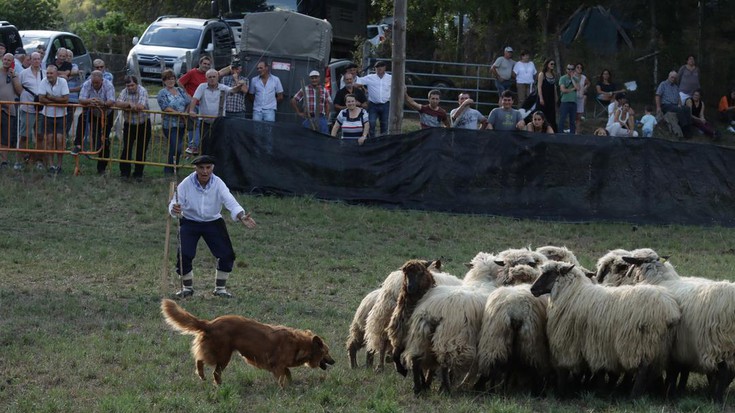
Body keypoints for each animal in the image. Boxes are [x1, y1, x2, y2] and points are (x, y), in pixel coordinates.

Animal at [162, 298, 338, 384]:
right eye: (327, 352)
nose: (334, 361)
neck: (299, 344)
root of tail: (210, 323)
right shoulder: (277, 365)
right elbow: (283, 377)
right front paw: (284, 388)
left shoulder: (281, 365)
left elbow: (288, 373)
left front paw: (291, 384)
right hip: (223, 356)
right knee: (212, 369)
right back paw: (217, 383)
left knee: (199, 358)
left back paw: (202, 376)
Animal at [532, 260, 680, 398]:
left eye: (549, 274)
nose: (532, 290)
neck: (573, 293)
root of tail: (669, 309)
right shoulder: (595, 342)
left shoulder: (570, 341)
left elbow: (565, 369)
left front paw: (563, 392)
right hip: (660, 345)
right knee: (654, 369)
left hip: (639, 342)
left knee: (643, 369)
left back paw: (634, 396)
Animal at [624, 246, 735, 400]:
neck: (659, 280)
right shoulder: (679, 347)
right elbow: (677, 371)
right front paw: (674, 390)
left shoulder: (672, 346)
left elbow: (672, 372)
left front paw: (668, 391)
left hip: (718, 341)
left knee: (724, 371)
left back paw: (716, 397)